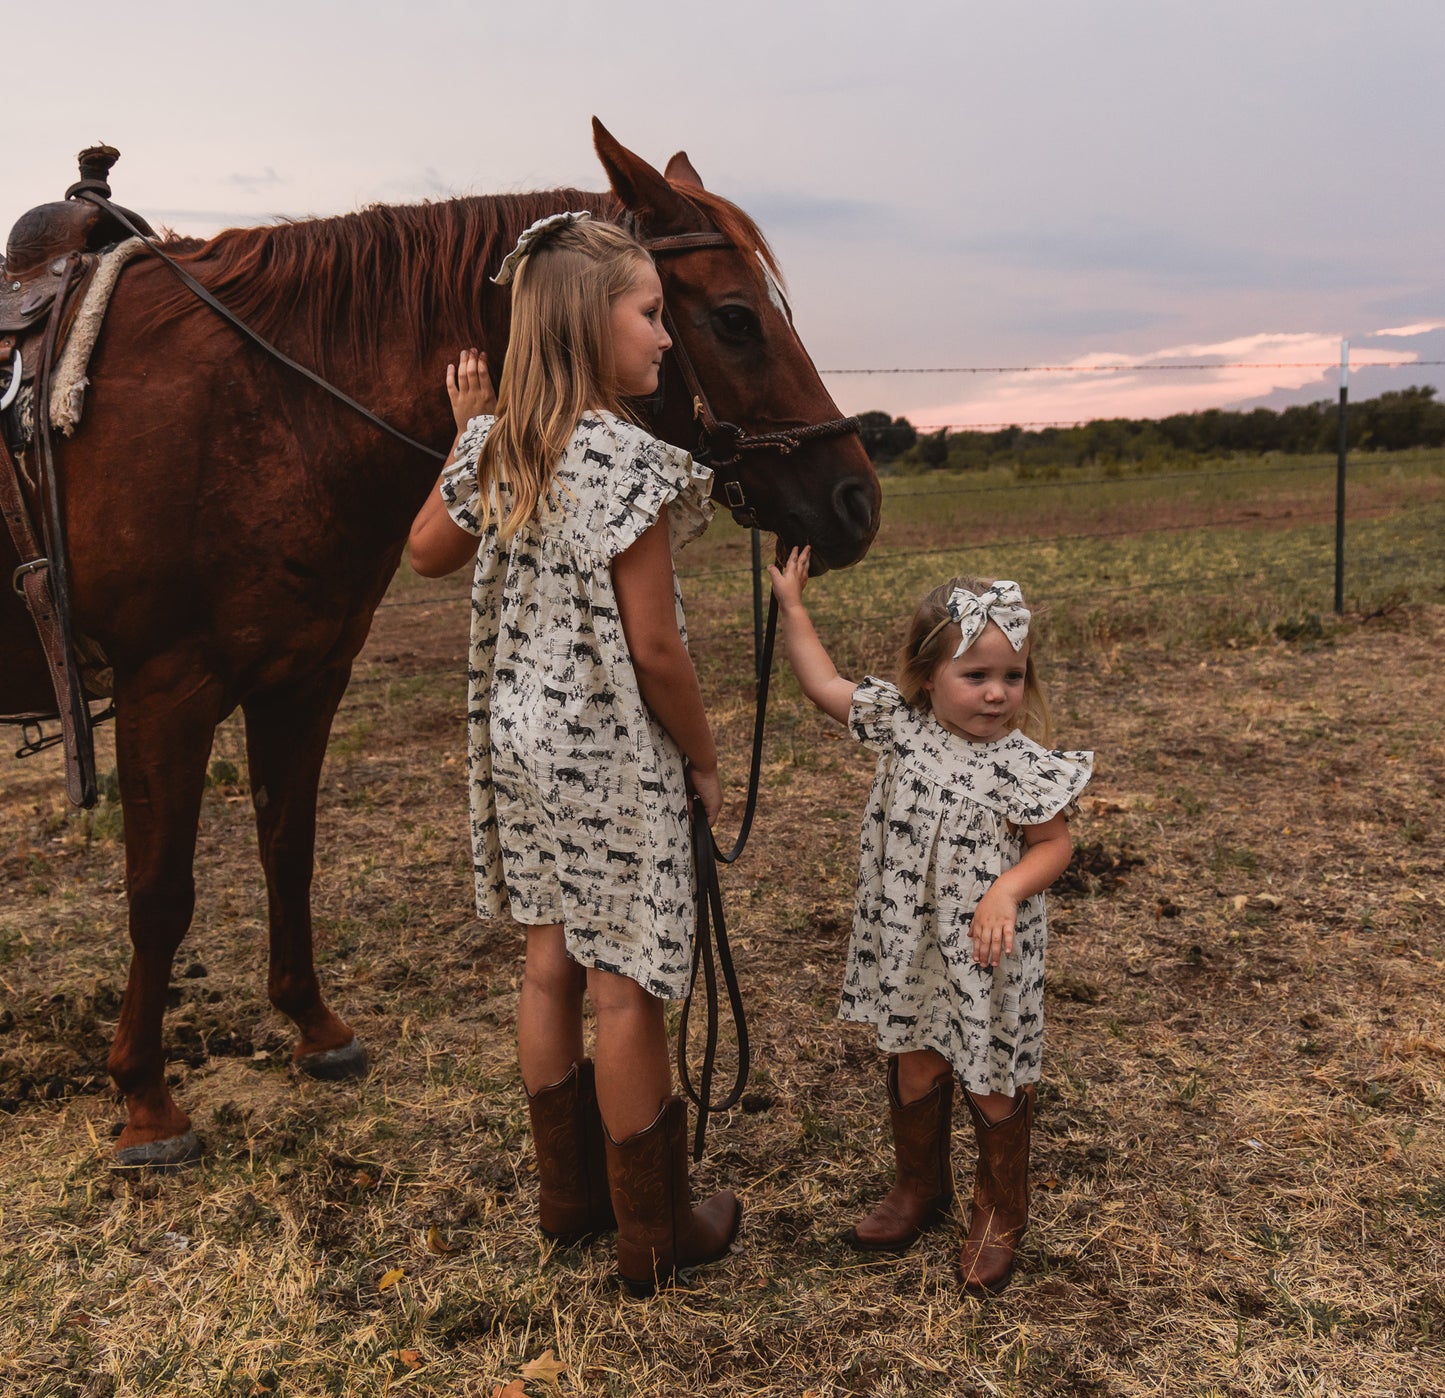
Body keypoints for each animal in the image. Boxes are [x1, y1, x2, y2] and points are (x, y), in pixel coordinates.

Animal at [0, 122, 884, 1168]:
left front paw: (314, 1028)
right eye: (736, 319)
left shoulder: (302, 679)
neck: (259, 402)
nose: (855, 501)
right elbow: (159, 892)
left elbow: (287, 849)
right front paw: (145, 1098)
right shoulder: (165, 690)